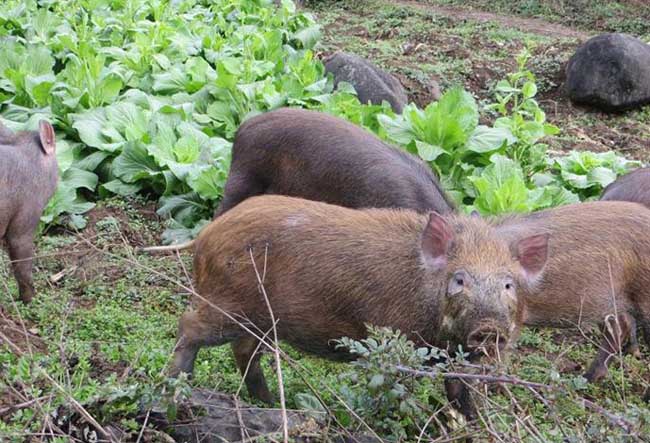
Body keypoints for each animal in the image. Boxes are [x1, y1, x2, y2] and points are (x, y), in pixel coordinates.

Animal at [170, 196, 544, 418]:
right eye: (459, 280)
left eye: (508, 285)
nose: (489, 328)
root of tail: (205, 236)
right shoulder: (396, 344)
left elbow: (459, 393)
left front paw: (471, 423)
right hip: (228, 306)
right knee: (189, 325)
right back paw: (177, 387)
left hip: (259, 319)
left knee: (244, 351)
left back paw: (271, 402)